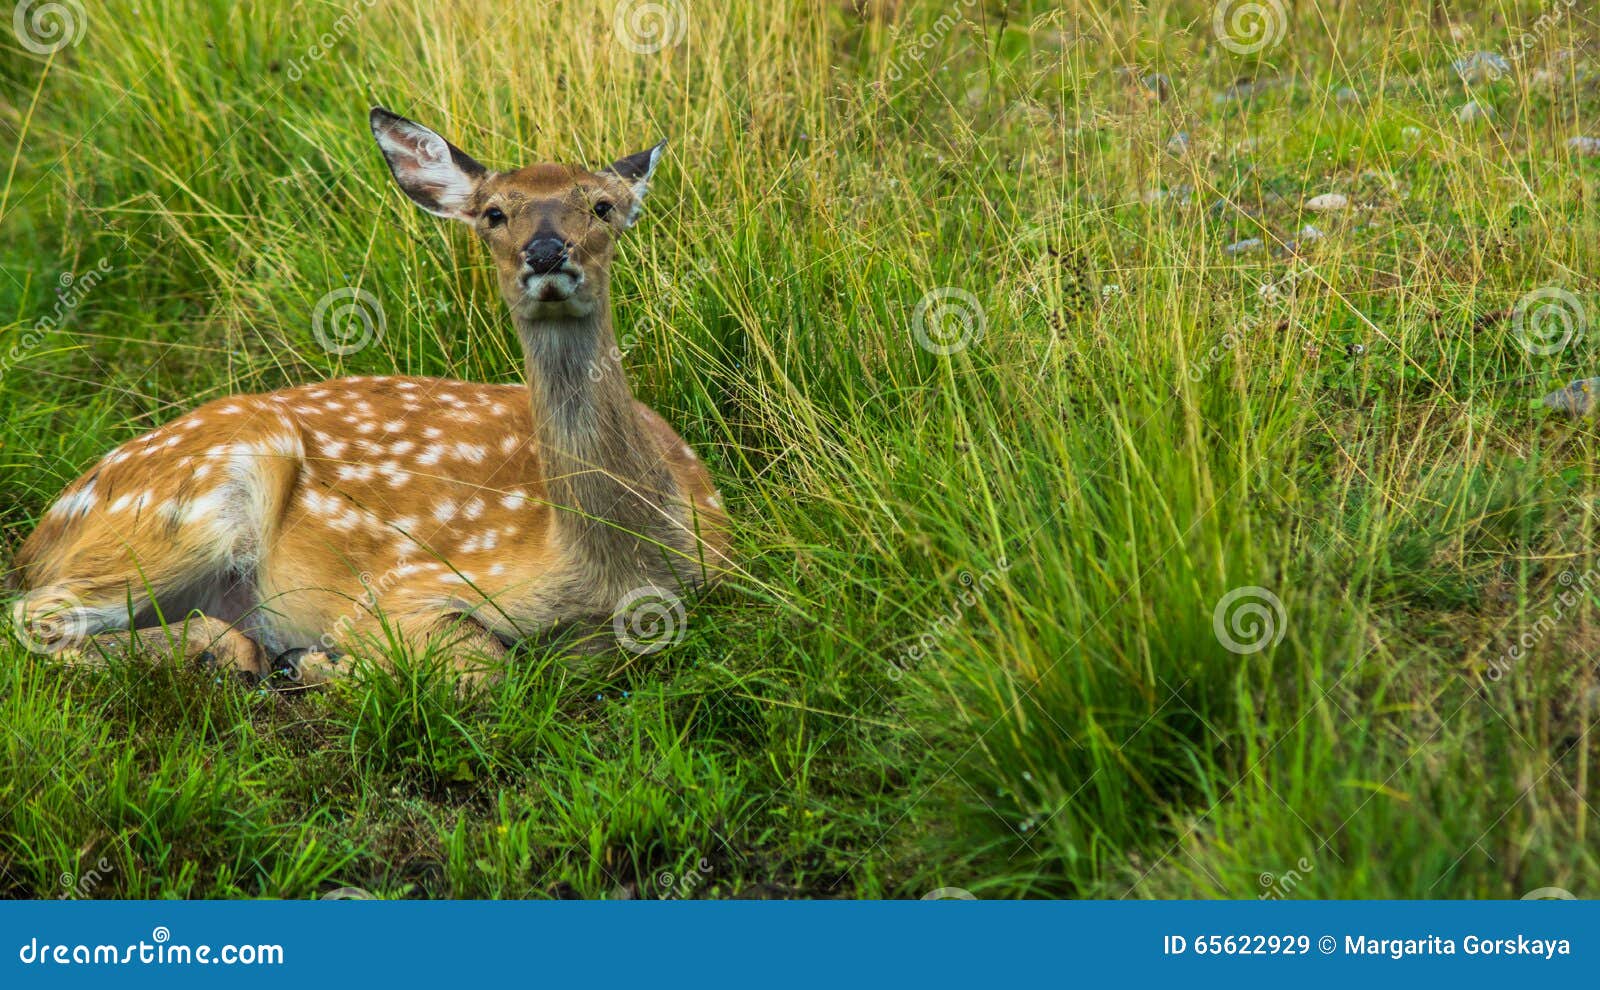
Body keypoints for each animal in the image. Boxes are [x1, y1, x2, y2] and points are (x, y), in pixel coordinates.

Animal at [7, 108, 730, 685]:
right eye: (493, 213)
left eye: (604, 206)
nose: (547, 252)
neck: (615, 567)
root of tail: (38, 541)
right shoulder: (403, 584)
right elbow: (484, 664)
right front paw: (327, 664)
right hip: (186, 503)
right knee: (33, 617)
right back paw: (244, 656)